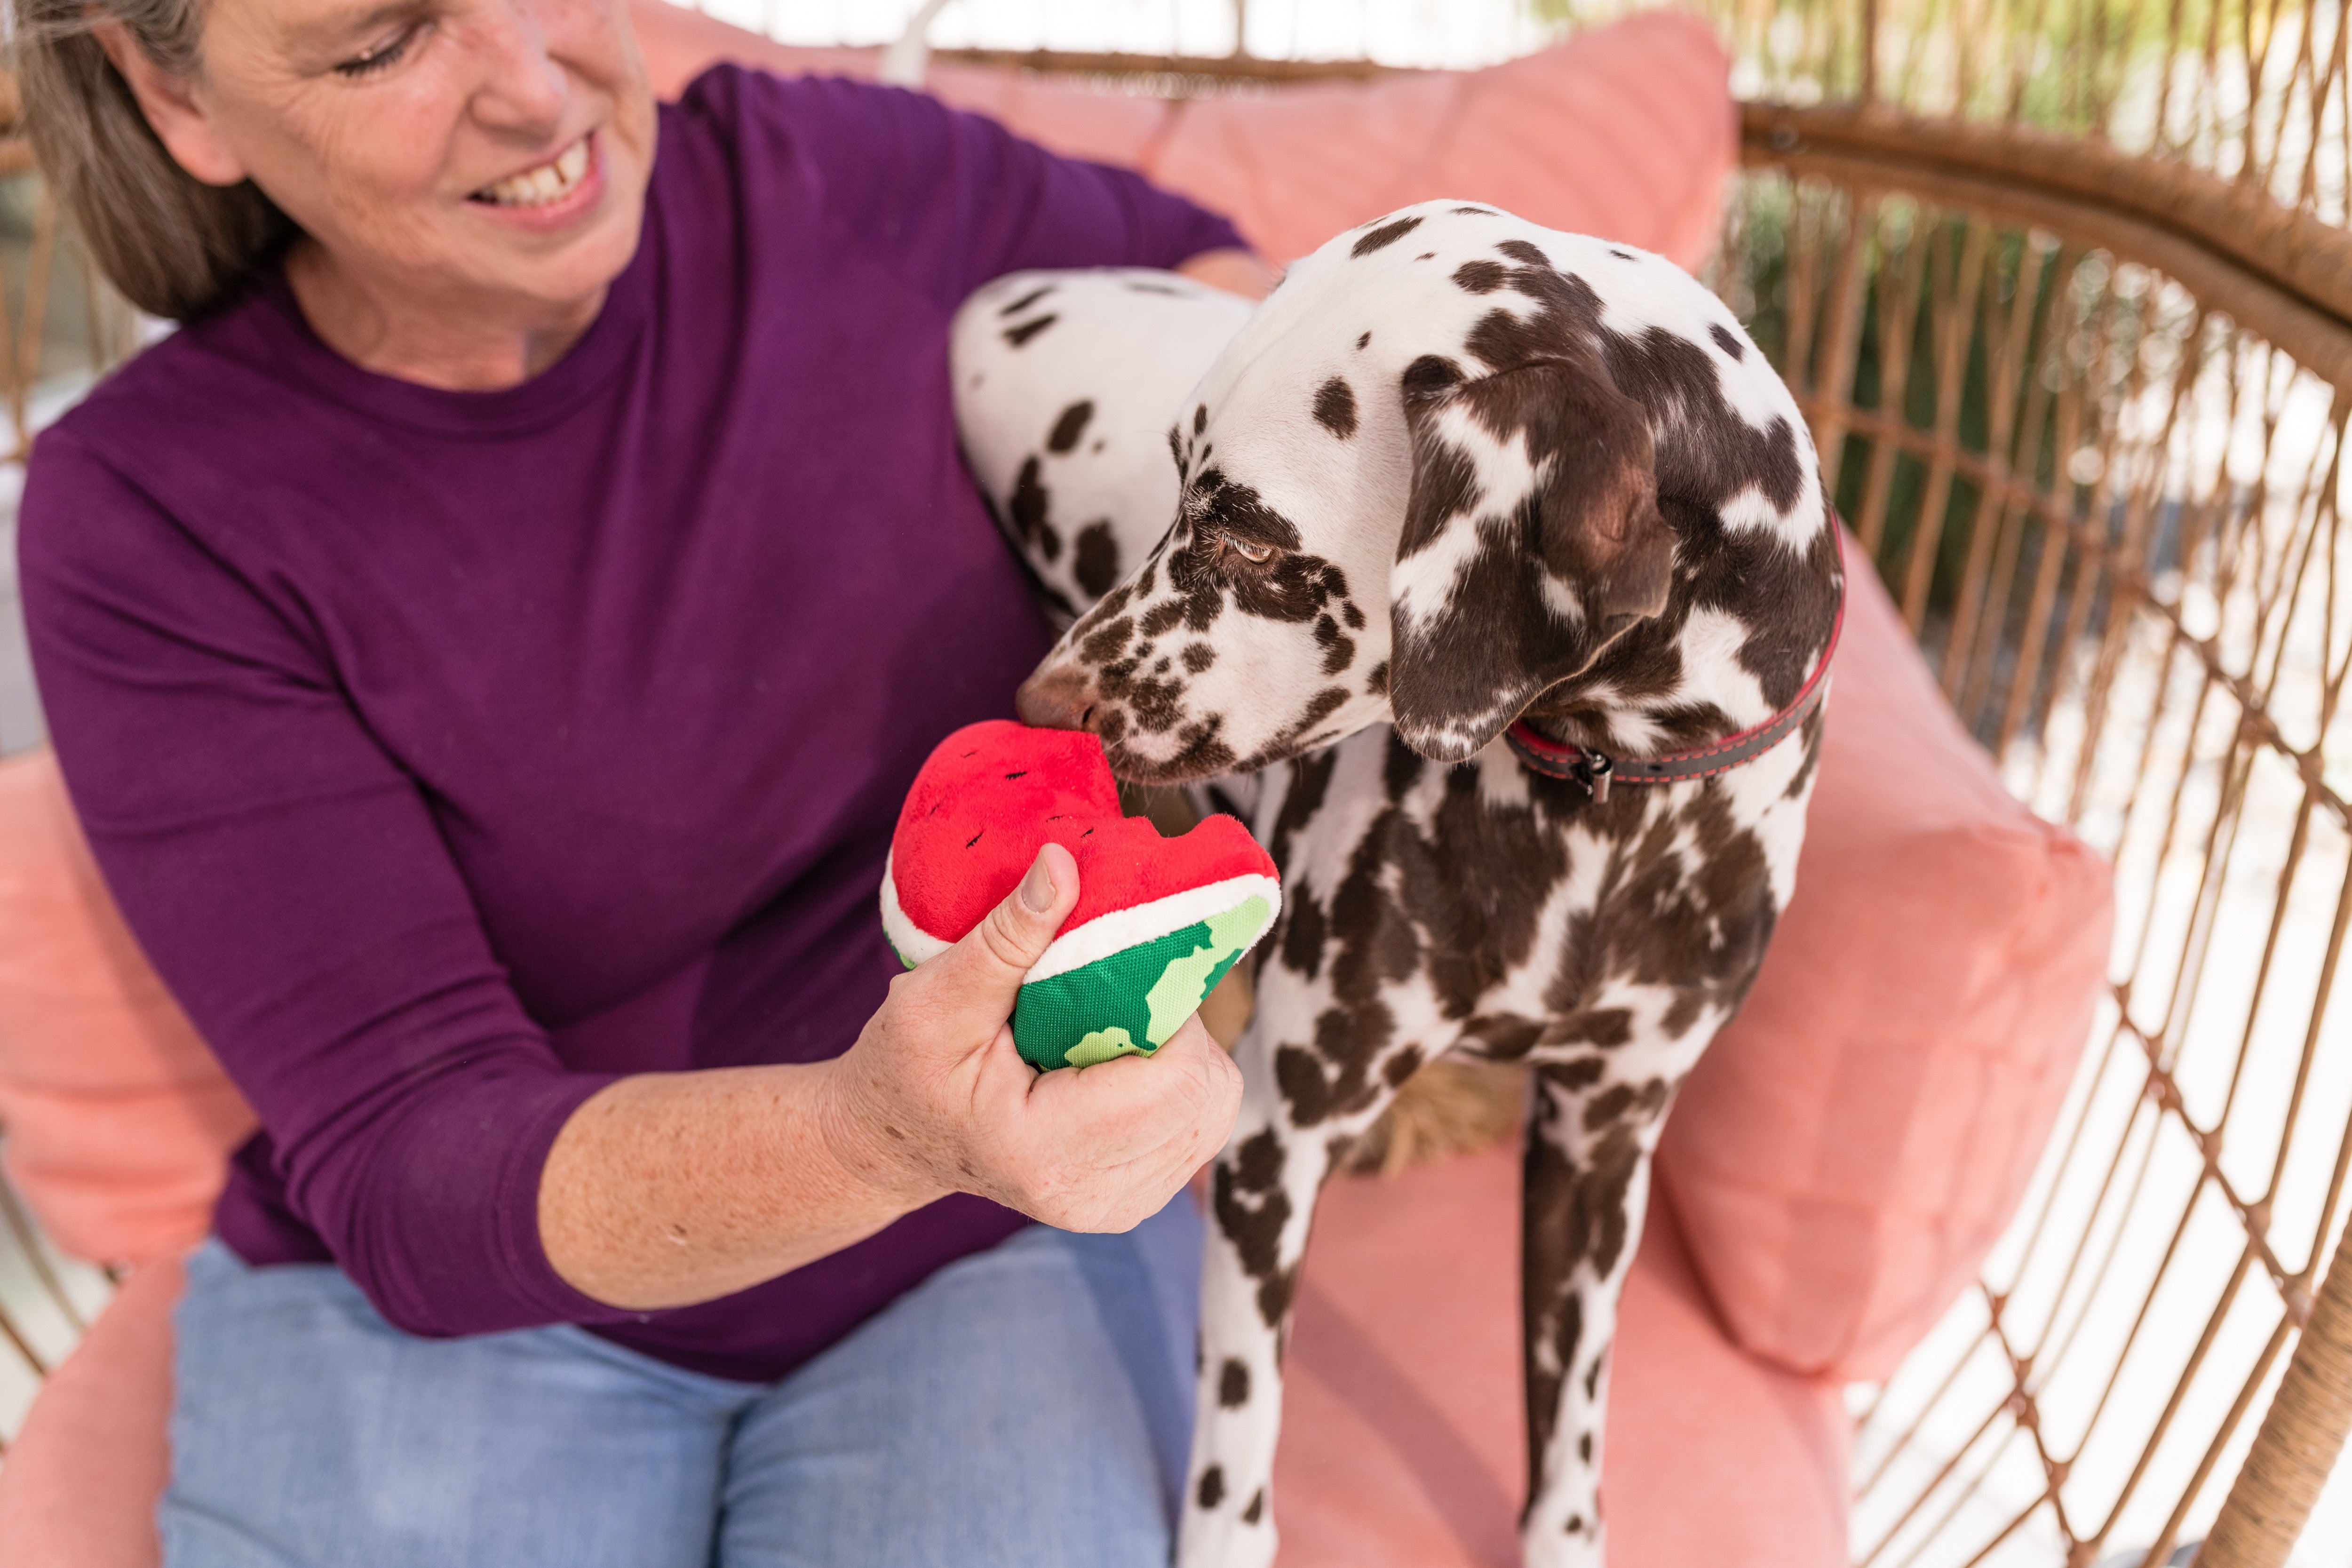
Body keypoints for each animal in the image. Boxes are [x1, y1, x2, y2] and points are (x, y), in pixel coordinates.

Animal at [946, 202, 1844, 1561]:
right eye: (1176, 482)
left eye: (1248, 535)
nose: (1042, 703)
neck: (1600, 823)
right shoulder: (1272, 1153)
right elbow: (1239, 1447)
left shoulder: (1599, 1153)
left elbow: (1568, 1437)